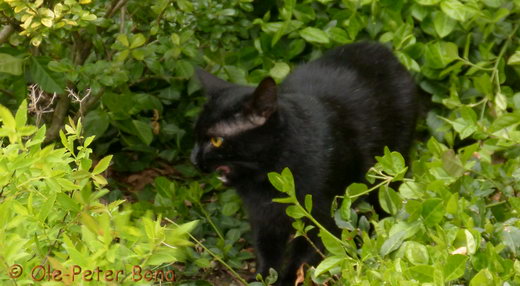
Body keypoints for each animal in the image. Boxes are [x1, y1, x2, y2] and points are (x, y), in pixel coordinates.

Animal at [191, 42, 418, 284]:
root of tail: (382, 49)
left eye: (216, 140)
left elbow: (306, 253)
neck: (266, 178)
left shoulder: (319, 211)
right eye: (196, 134)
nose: (193, 158)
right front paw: (263, 277)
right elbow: (266, 250)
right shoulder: (262, 216)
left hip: (389, 168)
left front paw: (288, 280)